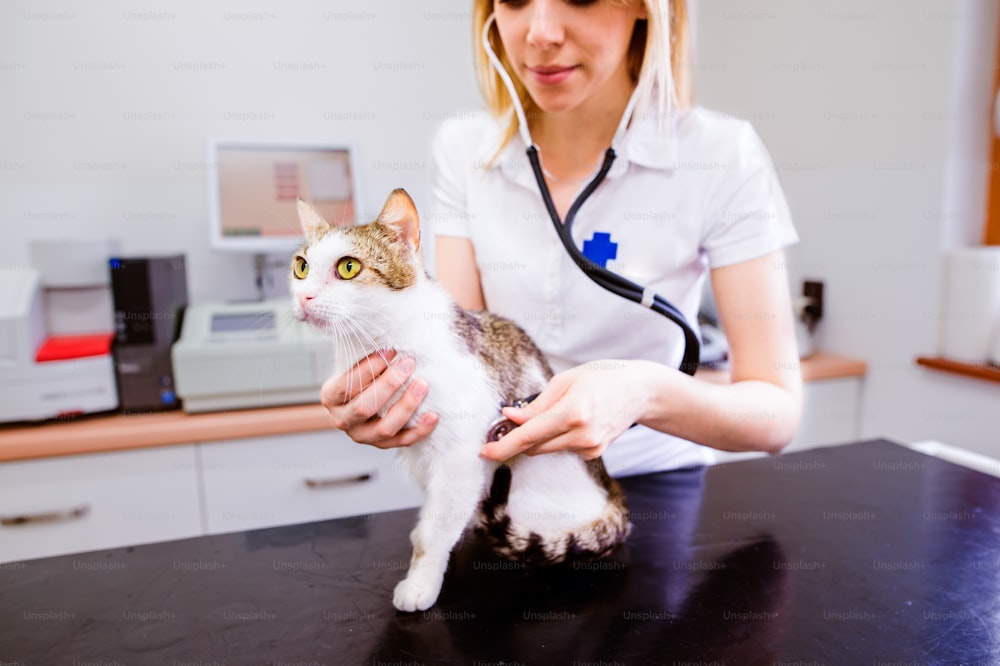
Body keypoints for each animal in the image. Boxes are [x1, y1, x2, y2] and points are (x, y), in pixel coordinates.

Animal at [290, 188, 628, 612]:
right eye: (301, 267)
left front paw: (420, 582)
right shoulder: (421, 455)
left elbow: (434, 532)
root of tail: (612, 493)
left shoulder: (460, 456)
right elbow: (431, 518)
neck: (382, 341)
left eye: (348, 267)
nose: (303, 297)